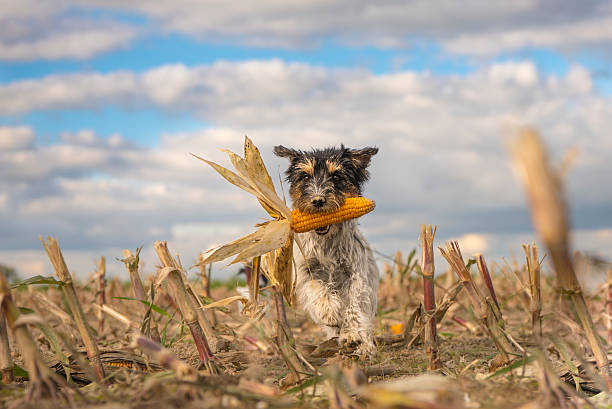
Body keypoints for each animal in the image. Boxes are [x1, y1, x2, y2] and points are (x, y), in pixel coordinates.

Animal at [274, 145, 378, 356]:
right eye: (305, 176)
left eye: (336, 176)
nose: (318, 200)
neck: (326, 242)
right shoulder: (307, 272)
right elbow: (318, 289)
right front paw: (329, 312)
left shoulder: (355, 275)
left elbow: (353, 306)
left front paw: (352, 335)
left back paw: (363, 346)